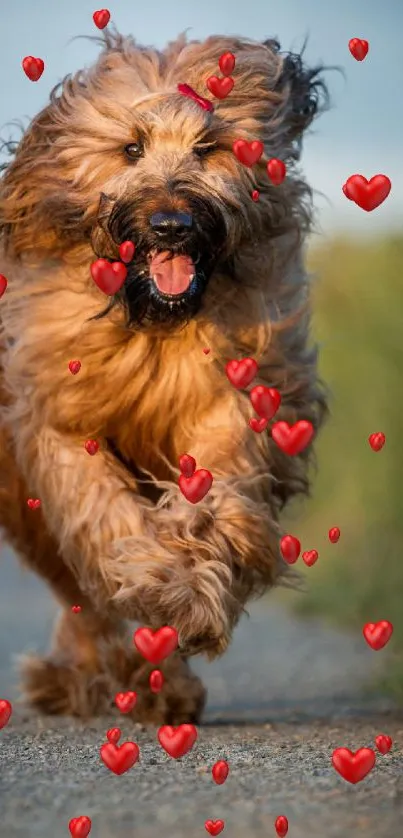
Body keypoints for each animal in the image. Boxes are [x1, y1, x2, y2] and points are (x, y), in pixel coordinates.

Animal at [0, 26, 328, 720]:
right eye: (130, 148)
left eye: (209, 147)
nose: (171, 224)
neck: (151, 325)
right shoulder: (57, 420)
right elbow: (102, 512)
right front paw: (162, 582)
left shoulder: (233, 397)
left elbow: (217, 493)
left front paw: (192, 594)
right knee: (81, 594)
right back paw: (100, 677)